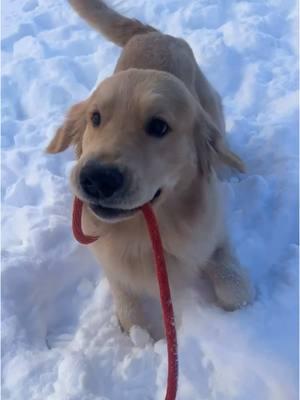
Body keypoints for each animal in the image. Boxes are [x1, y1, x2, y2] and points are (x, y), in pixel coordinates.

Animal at [46, 0, 253, 334]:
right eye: (95, 118)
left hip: (212, 108)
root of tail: (152, 34)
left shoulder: (215, 235)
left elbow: (234, 289)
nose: (96, 179)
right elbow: (130, 314)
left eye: (158, 126)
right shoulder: (111, 262)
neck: (143, 231)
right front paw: (142, 334)